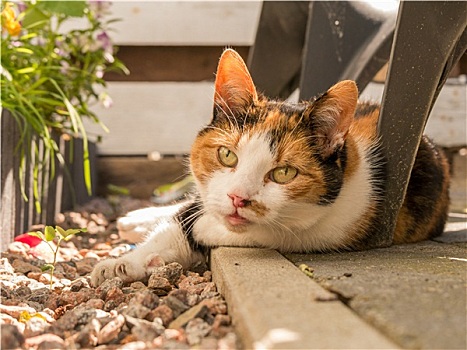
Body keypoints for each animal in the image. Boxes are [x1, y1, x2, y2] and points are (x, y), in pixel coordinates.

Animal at [89, 47, 452, 286]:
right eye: (227, 156)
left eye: (284, 173)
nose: (238, 198)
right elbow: (179, 224)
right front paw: (121, 264)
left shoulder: (345, 225)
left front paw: (200, 232)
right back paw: (136, 219)